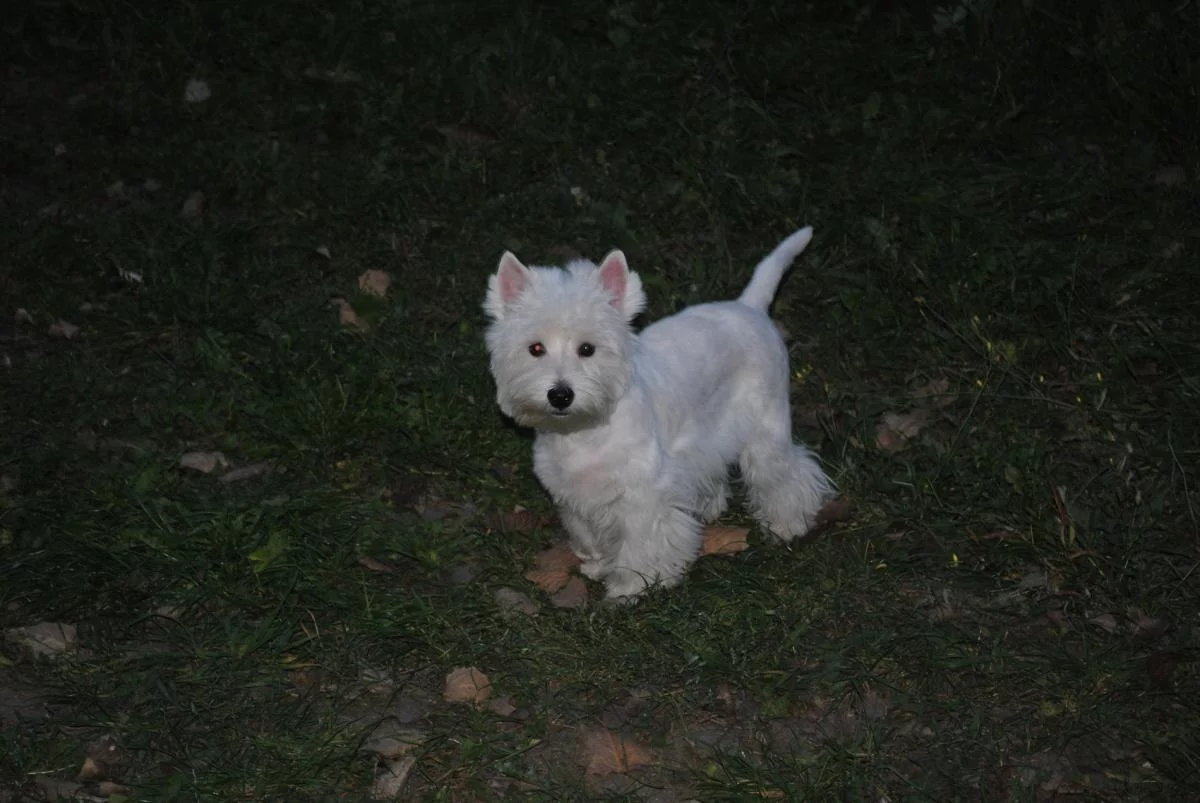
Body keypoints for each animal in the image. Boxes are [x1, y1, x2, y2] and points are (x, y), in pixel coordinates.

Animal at [484, 227, 834, 600]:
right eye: (535, 348)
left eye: (587, 349)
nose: (560, 395)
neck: (585, 431)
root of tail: (749, 306)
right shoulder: (574, 496)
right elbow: (589, 534)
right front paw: (597, 565)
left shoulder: (644, 495)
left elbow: (641, 544)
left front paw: (631, 586)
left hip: (766, 427)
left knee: (785, 473)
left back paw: (787, 525)